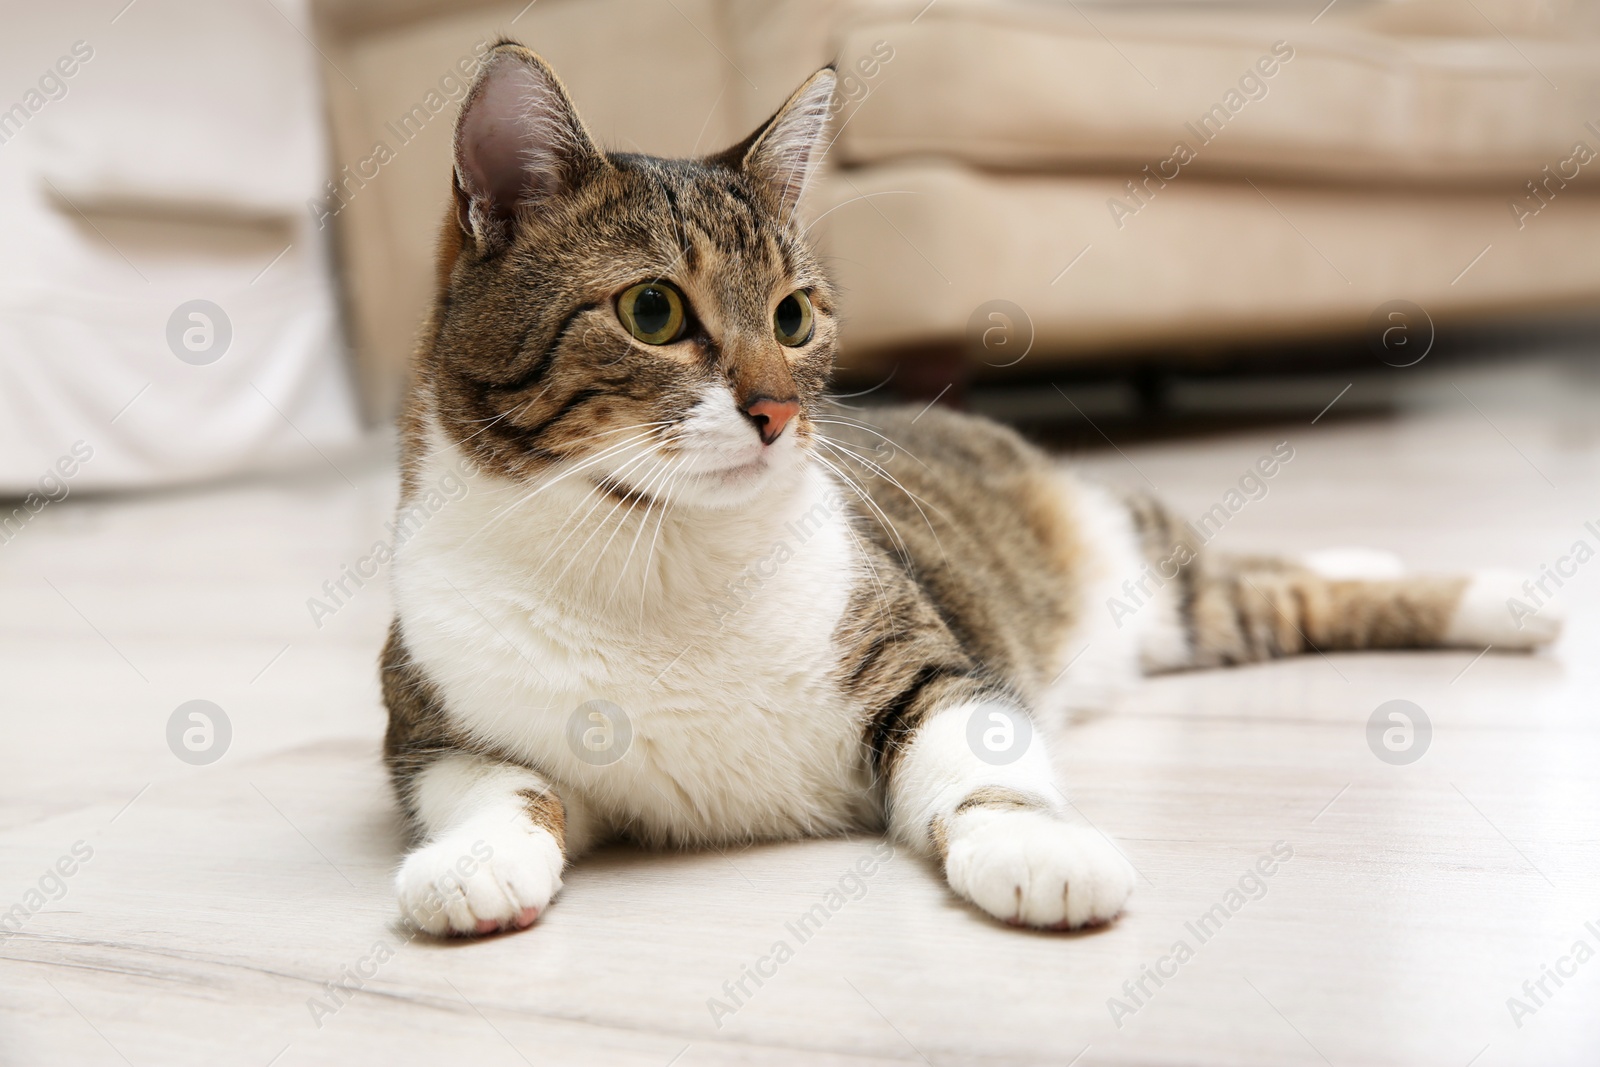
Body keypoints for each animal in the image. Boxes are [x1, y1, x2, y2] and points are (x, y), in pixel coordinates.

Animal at [377, 41, 1561, 934]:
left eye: (794, 316)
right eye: (654, 311)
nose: (778, 411)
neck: (661, 555)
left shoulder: (921, 654)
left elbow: (973, 750)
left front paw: (1039, 846)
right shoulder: (427, 714)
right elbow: (490, 784)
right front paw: (475, 864)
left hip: (1127, 552)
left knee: (1252, 568)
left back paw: (1508, 595)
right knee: (1268, 588)